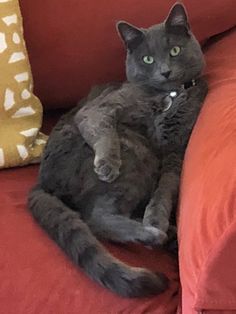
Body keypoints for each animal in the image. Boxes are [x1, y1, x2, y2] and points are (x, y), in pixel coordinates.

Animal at [28, 3, 207, 298]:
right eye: (147, 59)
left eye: (174, 51)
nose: (165, 72)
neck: (168, 96)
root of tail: (41, 183)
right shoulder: (99, 109)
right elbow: (102, 129)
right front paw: (108, 164)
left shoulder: (175, 150)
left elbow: (166, 189)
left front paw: (156, 217)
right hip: (135, 150)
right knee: (95, 217)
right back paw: (150, 234)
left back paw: (163, 232)